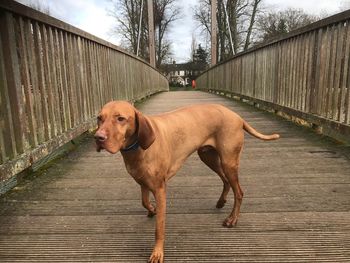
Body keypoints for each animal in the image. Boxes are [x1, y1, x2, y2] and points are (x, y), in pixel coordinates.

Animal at [94, 100, 280, 262]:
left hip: (228, 161)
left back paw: (232, 219)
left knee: (239, 191)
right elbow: (144, 202)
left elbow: (159, 227)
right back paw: (221, 202)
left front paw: (157, 253)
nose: (98, 137)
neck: (136, 147)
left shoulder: (160, 189)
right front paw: (152, 209)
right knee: (225, 180)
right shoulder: (142, 182)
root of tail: (237, 116)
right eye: (99, 118)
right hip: (208, 157)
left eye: (120, 118)